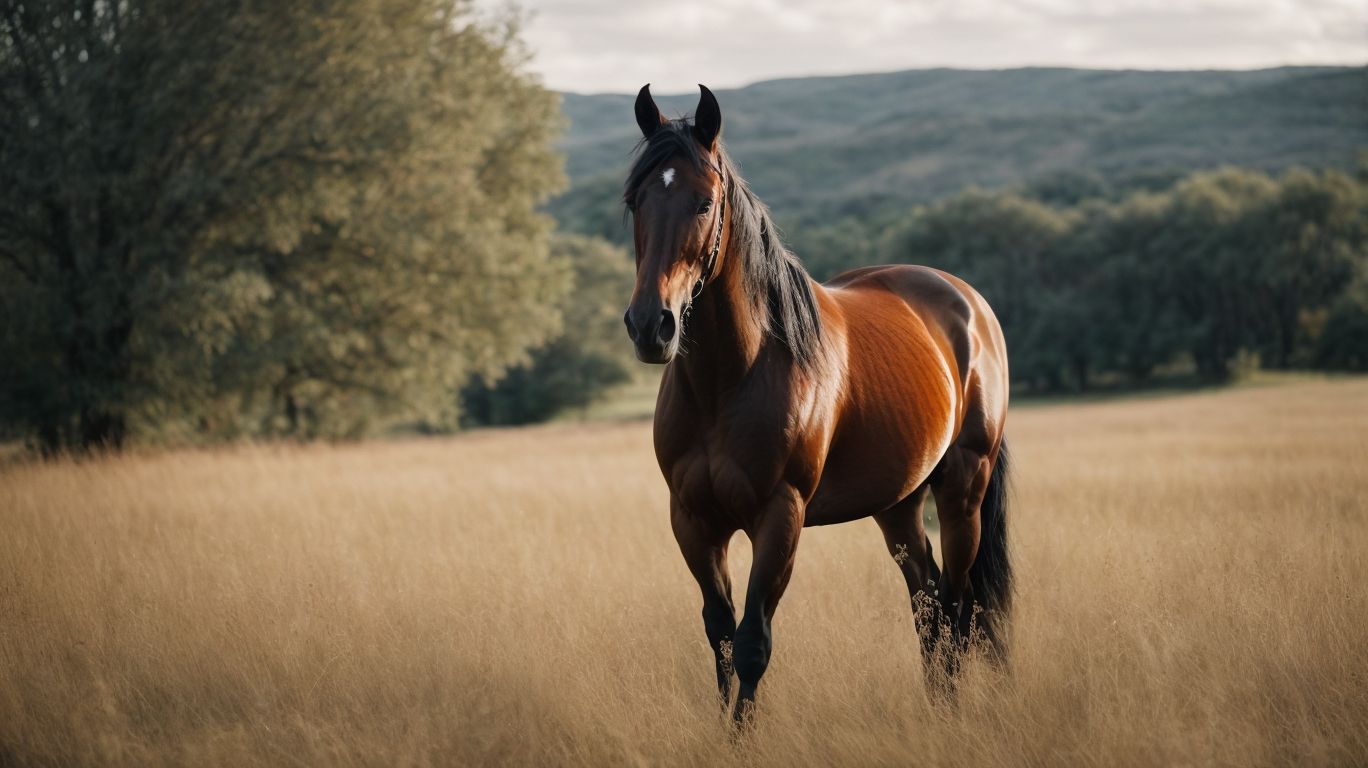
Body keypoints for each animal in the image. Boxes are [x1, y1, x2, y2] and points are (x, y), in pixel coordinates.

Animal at [622, 84, 1012, 724]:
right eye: (635, 201)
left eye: (704, 202)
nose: (651, 326)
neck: (730, 380)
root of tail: (969, 304)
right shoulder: (694, 521)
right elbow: (720, 638)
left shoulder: (780, 517)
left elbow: (752, 644)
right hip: (898, 504)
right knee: (928, 606)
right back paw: (936, 710)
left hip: (963, 491)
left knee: (958, 612)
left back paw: (952, 716)